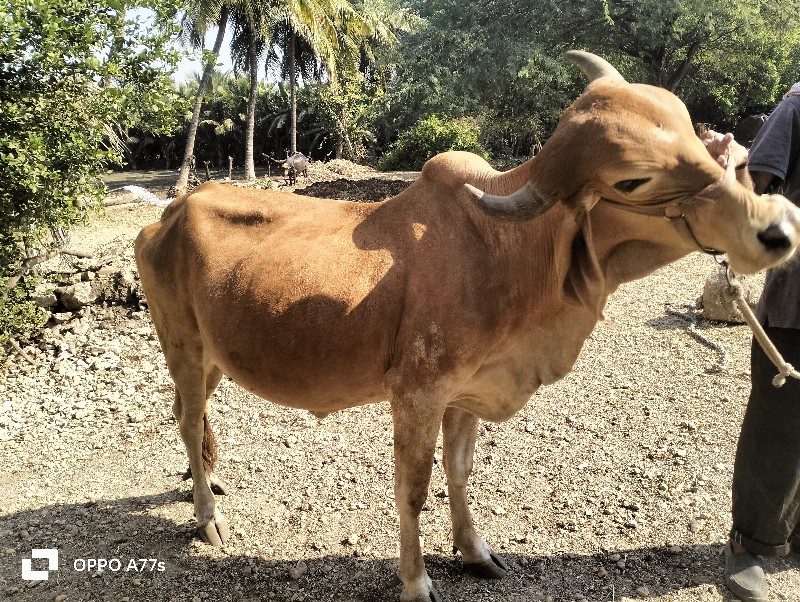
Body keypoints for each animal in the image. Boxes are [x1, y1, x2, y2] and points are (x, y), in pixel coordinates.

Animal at [134, 52, 796, 600]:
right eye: (633, 179)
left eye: (695, 137)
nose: (777, 228)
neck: (505, 252)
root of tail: (171, 210)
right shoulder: (416, 394)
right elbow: (414, 488)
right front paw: (416, 581)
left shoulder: (468, 392)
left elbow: (460, 471)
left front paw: (475, 553)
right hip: (183, 346)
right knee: (187, 420)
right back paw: (206, 516)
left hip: (213, 356)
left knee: (190, 414)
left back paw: (205, 483)